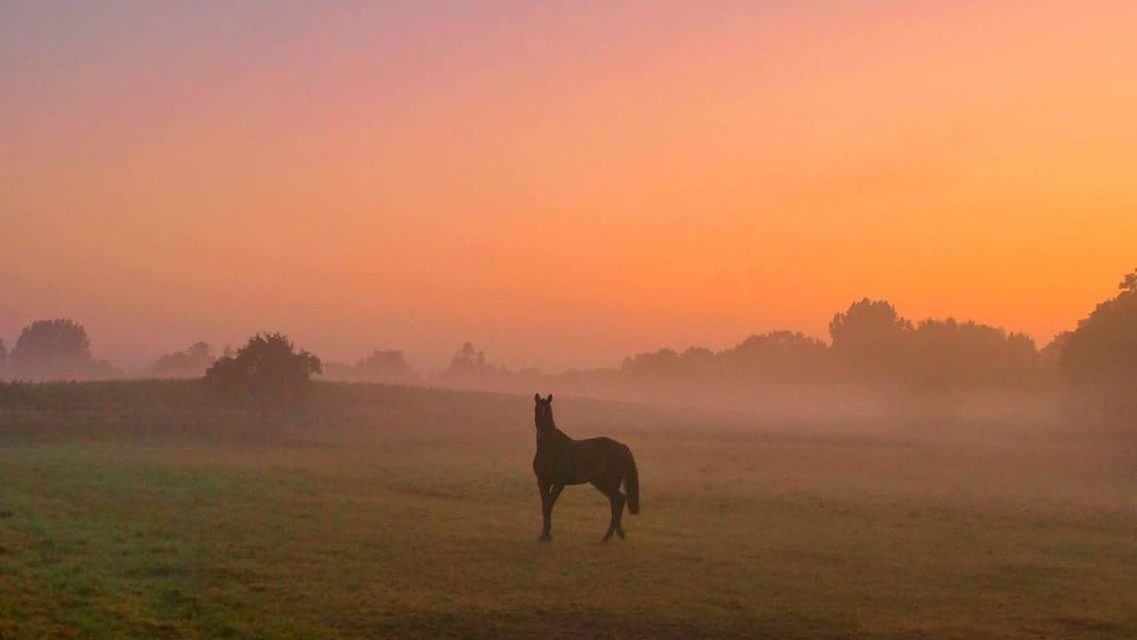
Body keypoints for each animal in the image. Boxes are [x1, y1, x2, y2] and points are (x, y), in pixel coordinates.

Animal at [527, 393, 636, 543]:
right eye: (537, 409)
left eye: (548, 411)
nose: (542, 434)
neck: (550, 448)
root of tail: (622, 447)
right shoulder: (543, 481)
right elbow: (545, 506)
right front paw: (543, 535)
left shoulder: (559, 483)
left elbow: (549, 505)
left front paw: (547, 535)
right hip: (602, 483)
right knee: (618, 500)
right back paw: (614, 534)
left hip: (609, 482)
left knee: (617, 501)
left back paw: (608, 536)